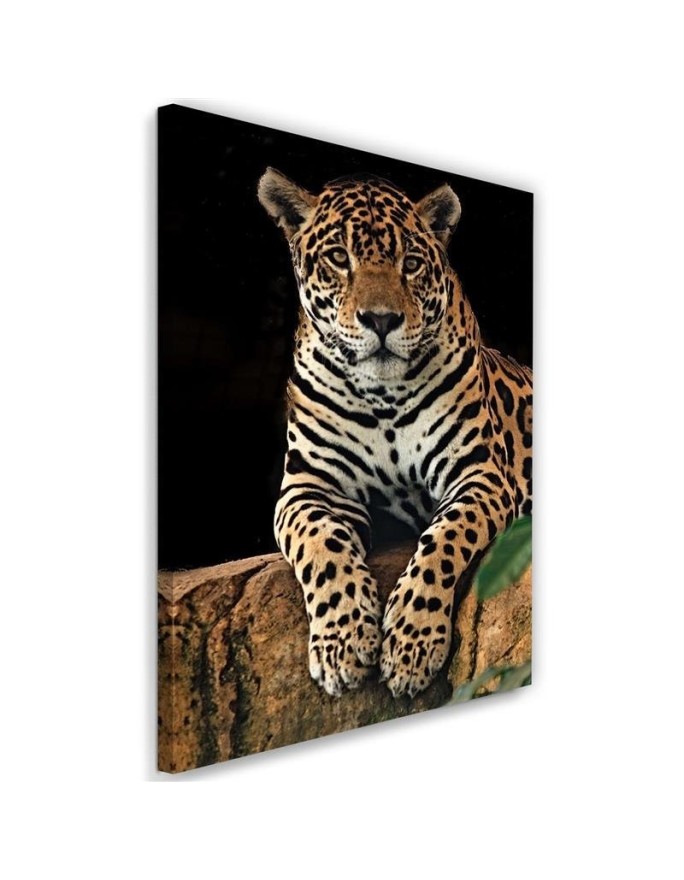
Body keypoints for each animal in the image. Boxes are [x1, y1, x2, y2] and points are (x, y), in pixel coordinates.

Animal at [258, 167, 532, 698]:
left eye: (411, 264)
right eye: (339, 258)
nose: (381, 320)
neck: (381, 395)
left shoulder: (480, 474)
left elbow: (445, 539)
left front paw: (412, 642)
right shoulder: (309, 487)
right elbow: (320, 544)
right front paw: (342, 643)